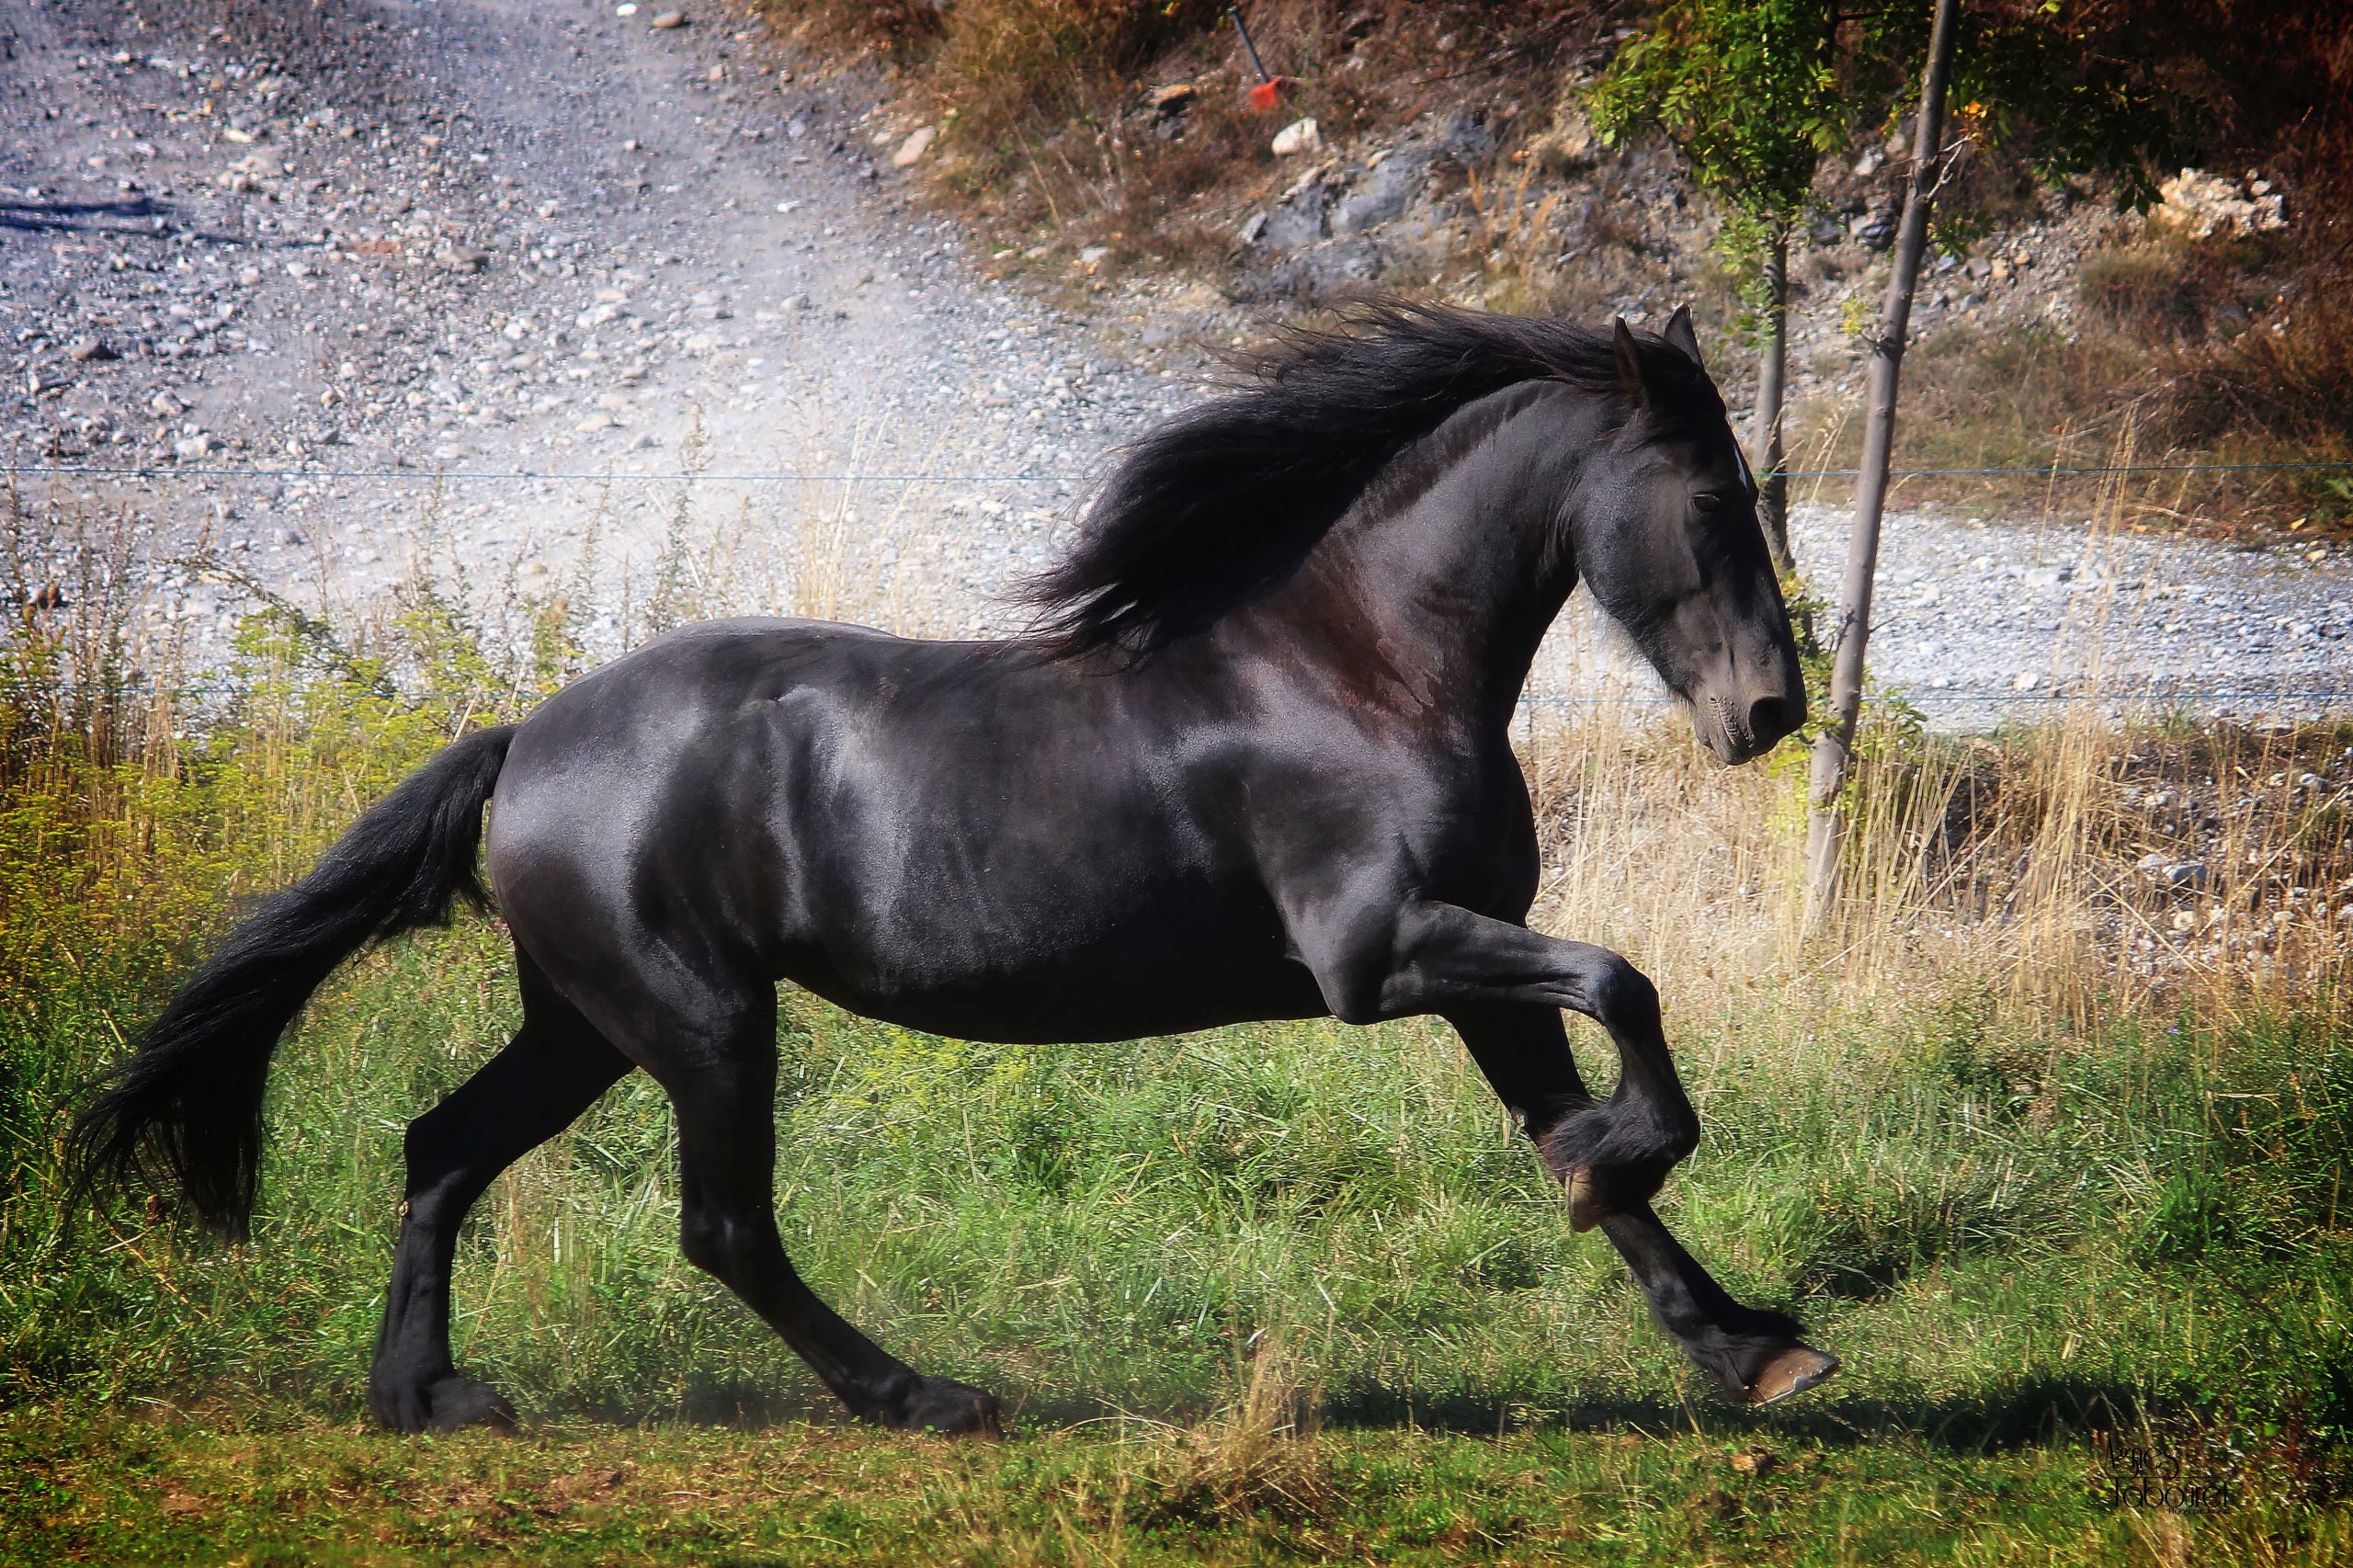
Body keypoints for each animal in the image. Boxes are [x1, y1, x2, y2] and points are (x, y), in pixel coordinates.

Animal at [68, 296, 1816, 1431]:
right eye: (1711, 498)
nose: (1770, 712)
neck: (1354, 670)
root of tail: (527, 741)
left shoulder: (1470, 967)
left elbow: (1569, 1105)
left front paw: (1746, 1342)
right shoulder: (1379, 953)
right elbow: (1628, 987)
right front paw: (1634, 1177)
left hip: (588, 1021)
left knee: (441, 1148)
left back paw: (424, 1396)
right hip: (702, 1021)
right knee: (721, 1226)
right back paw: (923, 1395)